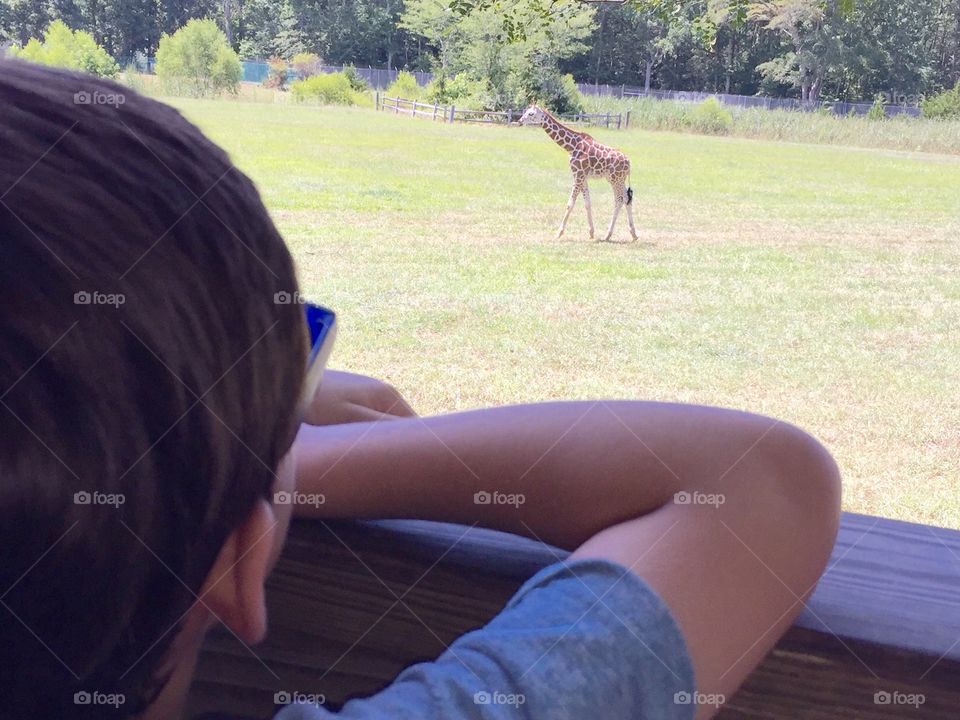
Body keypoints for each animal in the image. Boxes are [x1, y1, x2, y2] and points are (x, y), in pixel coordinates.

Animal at [519, 104, 638, 243]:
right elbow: (587, 203)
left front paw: (558, 233)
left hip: (615, 179)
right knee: (627, 198)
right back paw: (633, 234)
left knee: (619, 199)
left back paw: (608, 235)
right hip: (618, 179)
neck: (571, 147)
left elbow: (570, 204)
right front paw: (591, 233)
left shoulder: (578, 174)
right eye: (526, 111)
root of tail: (629, 163)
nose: (520, 121)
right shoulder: (582, 176)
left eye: (531, 114)